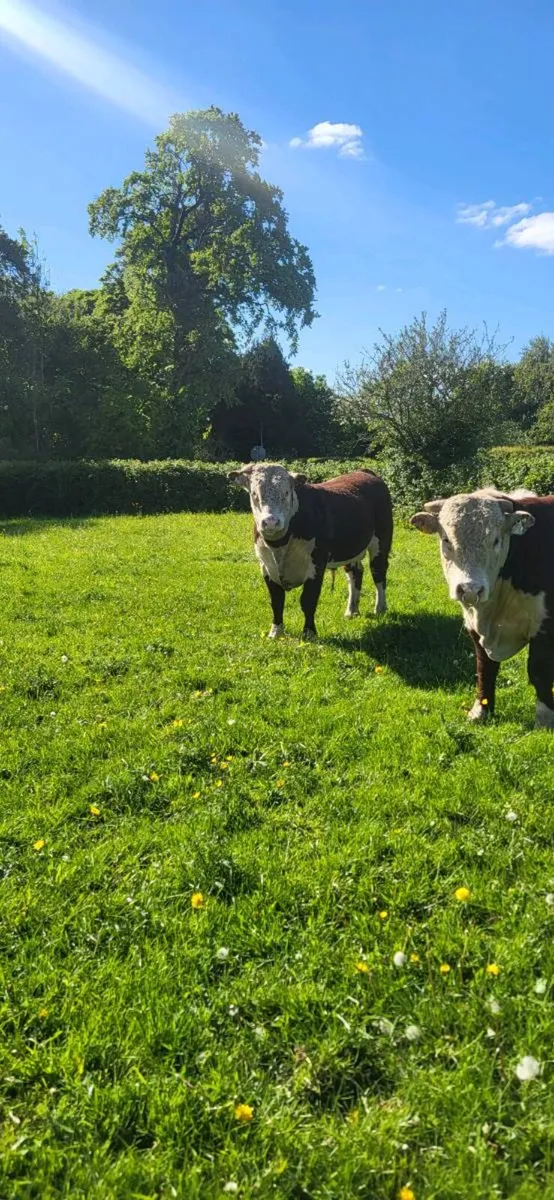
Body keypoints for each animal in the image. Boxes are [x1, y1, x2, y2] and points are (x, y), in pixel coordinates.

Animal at [228, 463, 393, 640]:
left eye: (286, 492)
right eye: (254, 493)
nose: (271, 522)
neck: (280, 546)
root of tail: (364, 472)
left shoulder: (316, 565)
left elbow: (308, 600)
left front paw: (309, 633)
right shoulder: (266, 567)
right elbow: (277, 602)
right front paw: (276, 632)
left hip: (382, 541)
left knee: (378, 573)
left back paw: (380, 608)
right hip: (351, 549)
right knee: (355, 573)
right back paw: (351, 611)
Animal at [410, 487, 554, 728]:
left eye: (495, 540)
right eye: (446, 539)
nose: (469, 589)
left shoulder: (544, 625)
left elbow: (539, 671)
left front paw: (544, 720)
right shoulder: (474, 627)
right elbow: (484, 667)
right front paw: (481, 711)